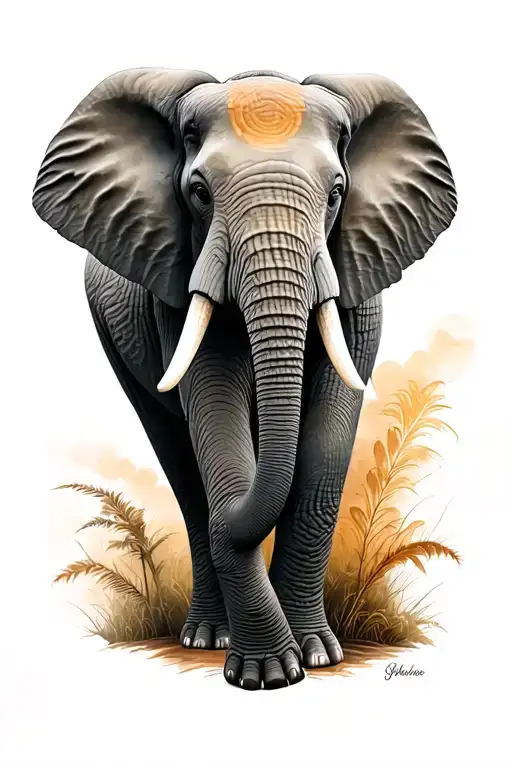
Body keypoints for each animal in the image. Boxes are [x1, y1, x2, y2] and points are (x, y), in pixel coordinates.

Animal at [33, 67, 456, 690]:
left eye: (336, 193)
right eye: (199, 193)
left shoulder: (358, 276)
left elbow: (325, 447)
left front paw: (316, 657)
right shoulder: (176, 286)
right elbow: (215, 419)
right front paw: (268, 674)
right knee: (182, 467)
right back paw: (208, 639)